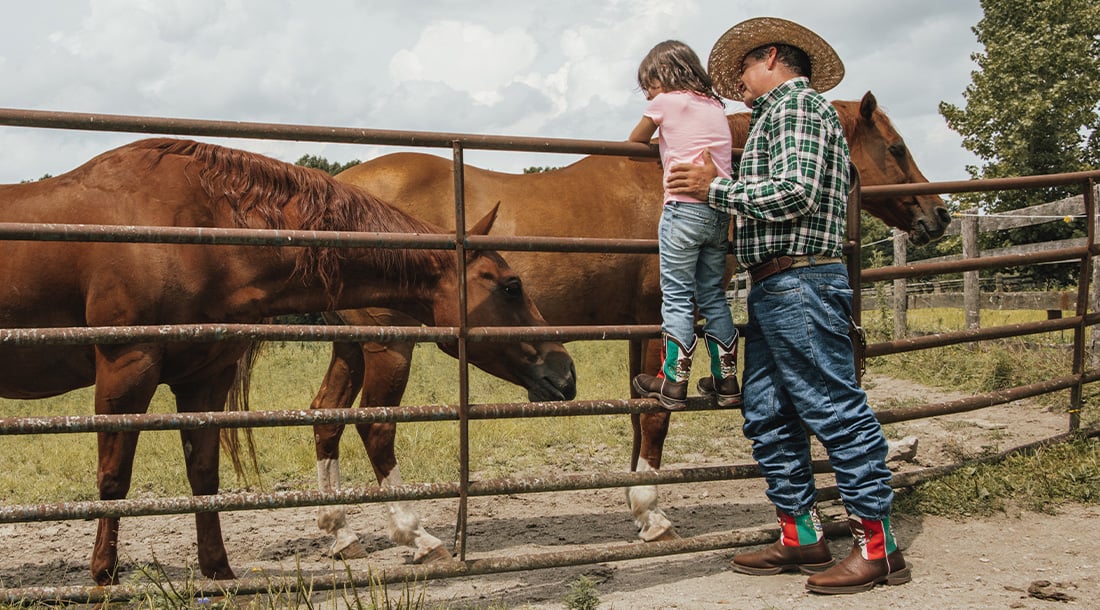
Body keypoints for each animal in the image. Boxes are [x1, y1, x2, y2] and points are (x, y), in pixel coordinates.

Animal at [0, 138, 580, 589]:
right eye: (510, 286)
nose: (566, 373)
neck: (193, 228)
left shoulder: (204, 379)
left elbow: (204, 475)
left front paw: (218, 572)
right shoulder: (127, 367)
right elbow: (113, 479)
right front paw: (103, 576)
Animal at [305, 91, 950, 558]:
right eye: (896, 148)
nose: (937, 214)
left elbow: (640, 414)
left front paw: (640, 507)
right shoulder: (657, 318)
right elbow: (655, 414)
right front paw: (651, 514)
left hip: (351, 346)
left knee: (325, 418)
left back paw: (340, 533)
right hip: (389, 346)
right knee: (376, 428)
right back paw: (418, 537)